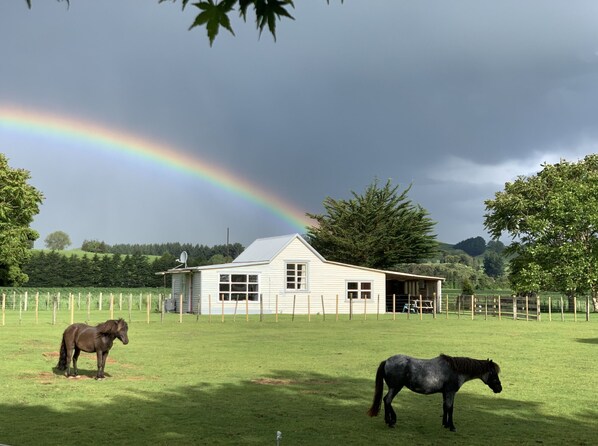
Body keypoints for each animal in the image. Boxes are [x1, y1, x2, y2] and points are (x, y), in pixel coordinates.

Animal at [368, 354, 504, 430]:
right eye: (493, 373)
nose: (499, 388)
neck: (455, 370)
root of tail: (387, 361)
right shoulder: (450, 392)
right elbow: (450, 408)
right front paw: (452, 426)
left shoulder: (445, 393)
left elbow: (445, 407)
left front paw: (445, 424)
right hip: (395, 387)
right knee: (387, 400)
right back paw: (390, 422)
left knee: (387, 400)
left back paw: (390, 420)